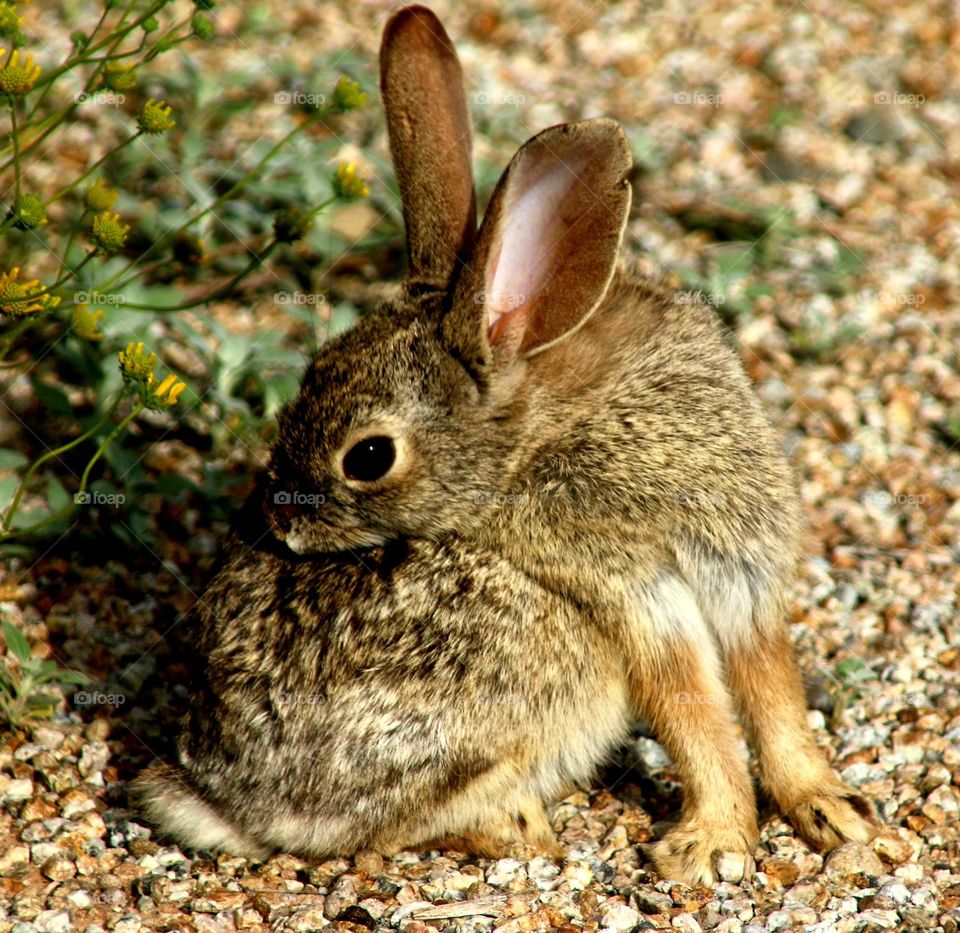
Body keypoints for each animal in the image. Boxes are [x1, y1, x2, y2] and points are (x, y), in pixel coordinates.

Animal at [135, 4, 878, 886]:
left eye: (367, 457)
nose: (281, 522)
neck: (538, 424)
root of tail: (219, 797)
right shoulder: (631, 591)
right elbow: (693, 712)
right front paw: (716, 843)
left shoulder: (741, 577)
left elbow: (772, 695)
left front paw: (836, 812)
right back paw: (522, 822)